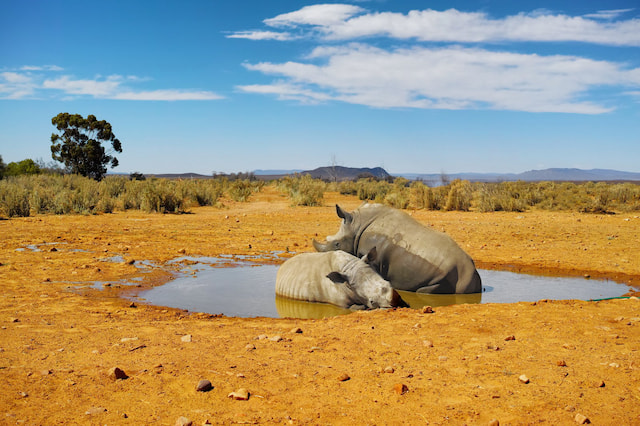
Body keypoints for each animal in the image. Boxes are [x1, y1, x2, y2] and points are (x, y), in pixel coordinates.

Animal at [275, 248, 408, 310]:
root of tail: (283, 265)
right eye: (372, 302)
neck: (348, 267)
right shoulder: (342, 303)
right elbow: (359, 307)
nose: (398, 303)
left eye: (388, 282)